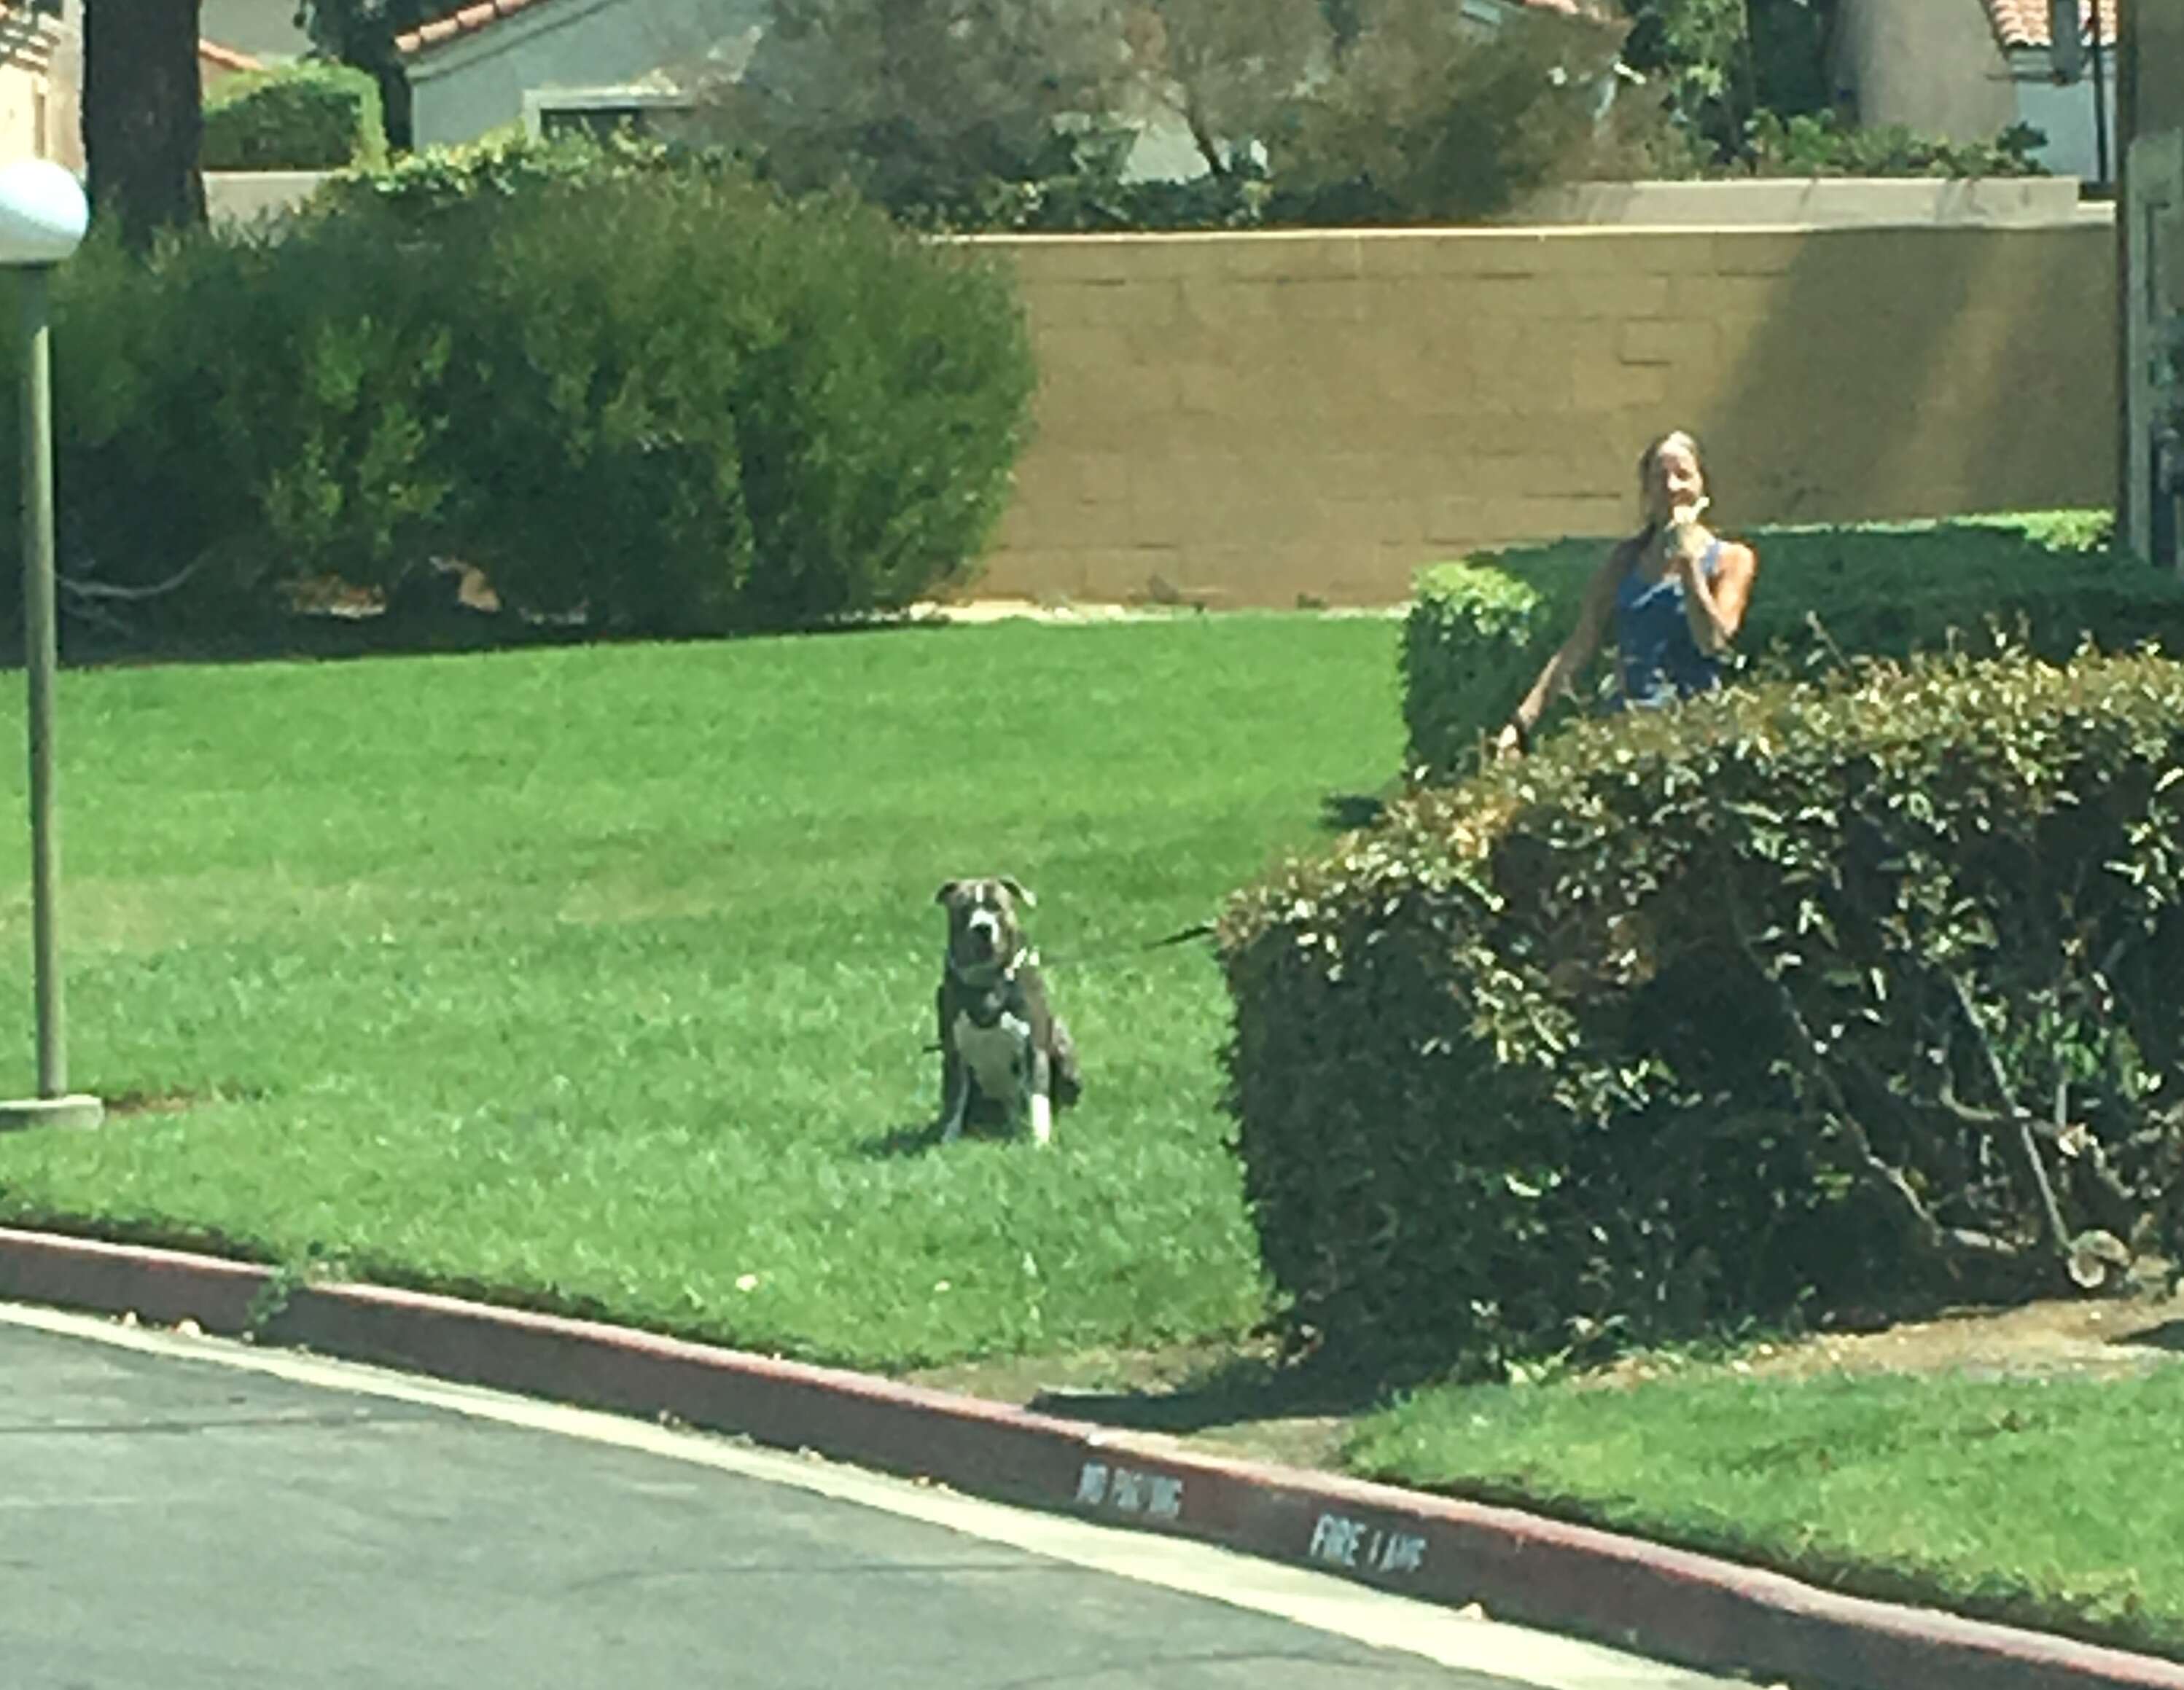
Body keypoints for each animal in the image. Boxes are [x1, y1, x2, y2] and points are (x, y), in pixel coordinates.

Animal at [935, 882, 1079, 1143]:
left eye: (997, 907)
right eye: (965, 908)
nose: (982, 927)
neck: (986, 979)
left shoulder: (1034, 1047)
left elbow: (1038, 1099)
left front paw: (1039, 1140)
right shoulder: (952, 1051)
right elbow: (955, 1098)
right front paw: (948, 1138)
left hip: (1061, 1039)